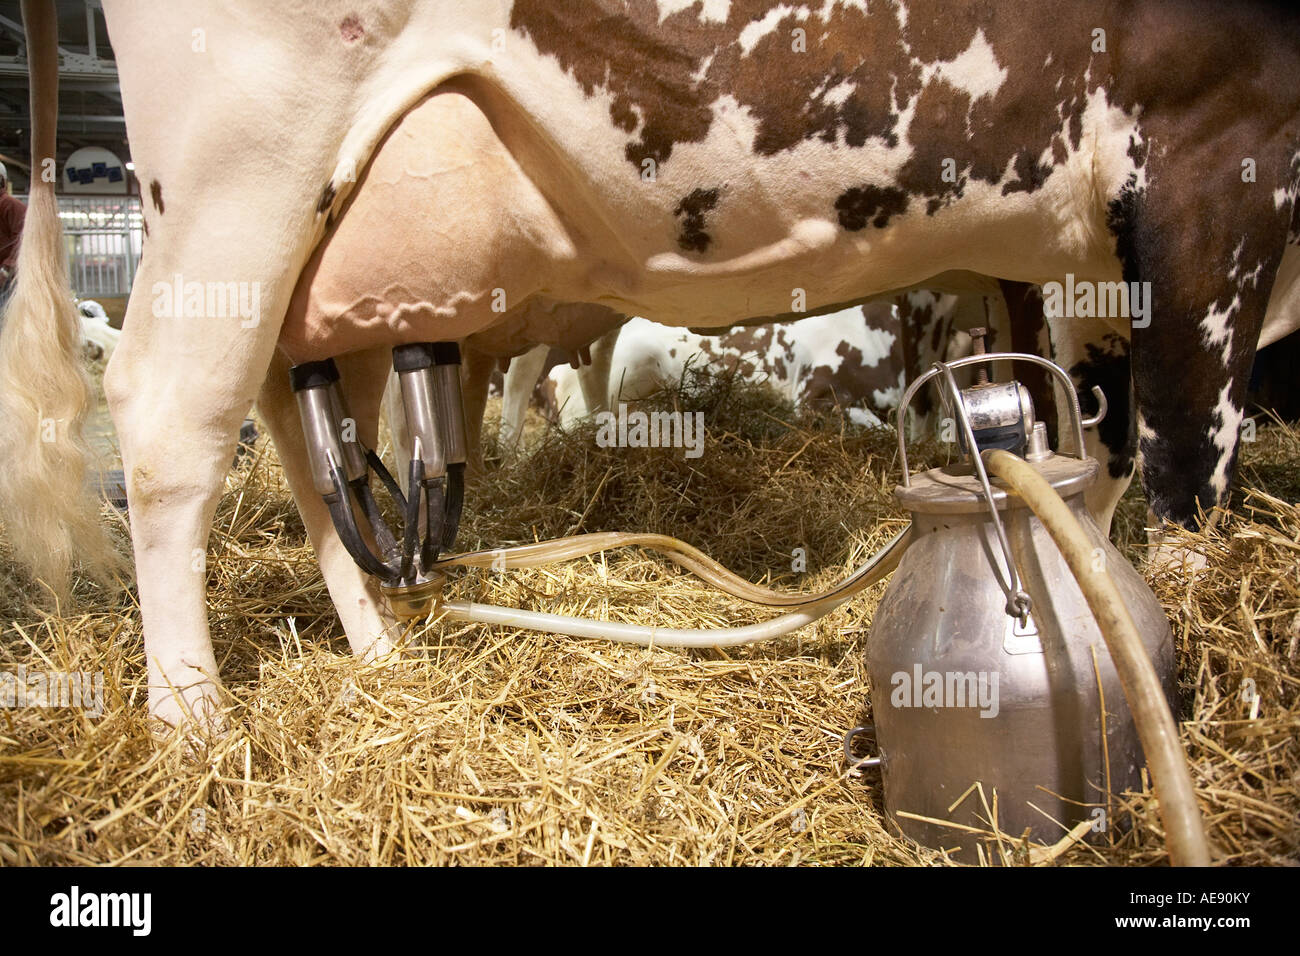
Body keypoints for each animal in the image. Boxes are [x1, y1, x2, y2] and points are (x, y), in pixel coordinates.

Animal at [0, 3, 1294, 728]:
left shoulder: (1069, 253)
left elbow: (1099, 455)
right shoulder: (1220, 150)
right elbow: (1186, 465)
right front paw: (1197, 670)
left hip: (327, 242)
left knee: (310, 425)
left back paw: (380, 645)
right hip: (242, 157)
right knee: (171, 415)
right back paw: (195, 724)